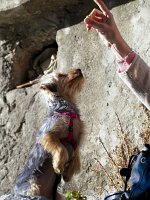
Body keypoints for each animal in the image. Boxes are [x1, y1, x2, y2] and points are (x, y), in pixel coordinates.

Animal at [14, 68, 84, 199]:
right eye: (61, 75)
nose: (79, 69)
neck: (64, 109)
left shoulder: (77, 140)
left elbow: (76, 156)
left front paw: (68, 173)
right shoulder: (47, 136)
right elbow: (61, 149)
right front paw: (58, 166)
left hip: (57, 196)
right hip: (32, 189)